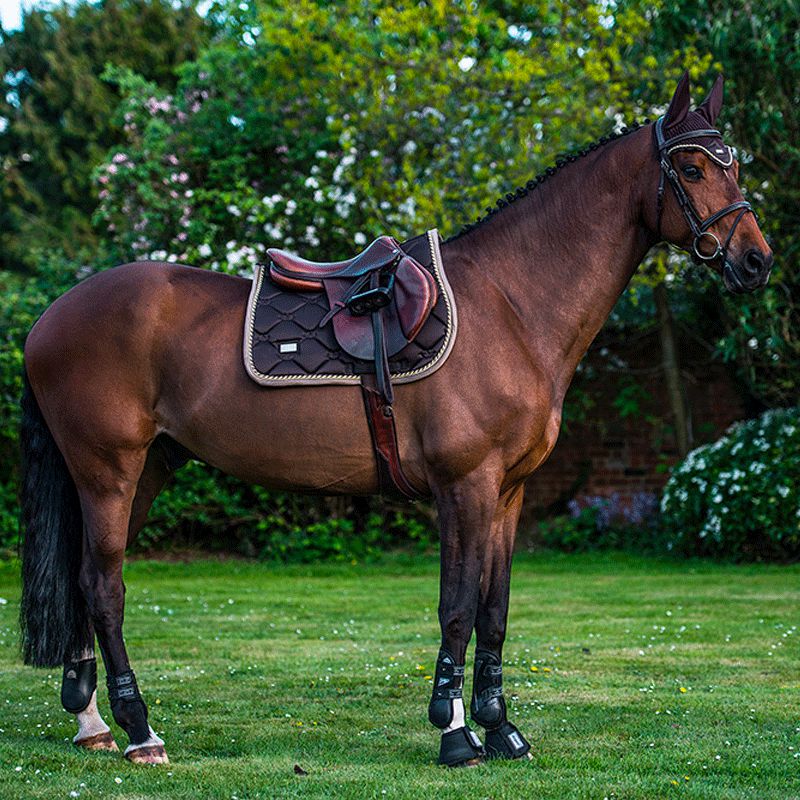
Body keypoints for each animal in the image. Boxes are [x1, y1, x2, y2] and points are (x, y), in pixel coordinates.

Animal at [19, 73, 771, 767]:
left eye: (734, 164)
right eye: (693, 168)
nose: (756, 260)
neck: (512, 304)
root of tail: (50, 317)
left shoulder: (508, 493)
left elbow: (495, 611)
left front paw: (502, 729)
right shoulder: (464, 486)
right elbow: (458, 607)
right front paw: (456, 733)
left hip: (144, 471)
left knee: (85, 585)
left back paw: (91, 722)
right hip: (108, 474)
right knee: (104, 589)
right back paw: (139, 730)